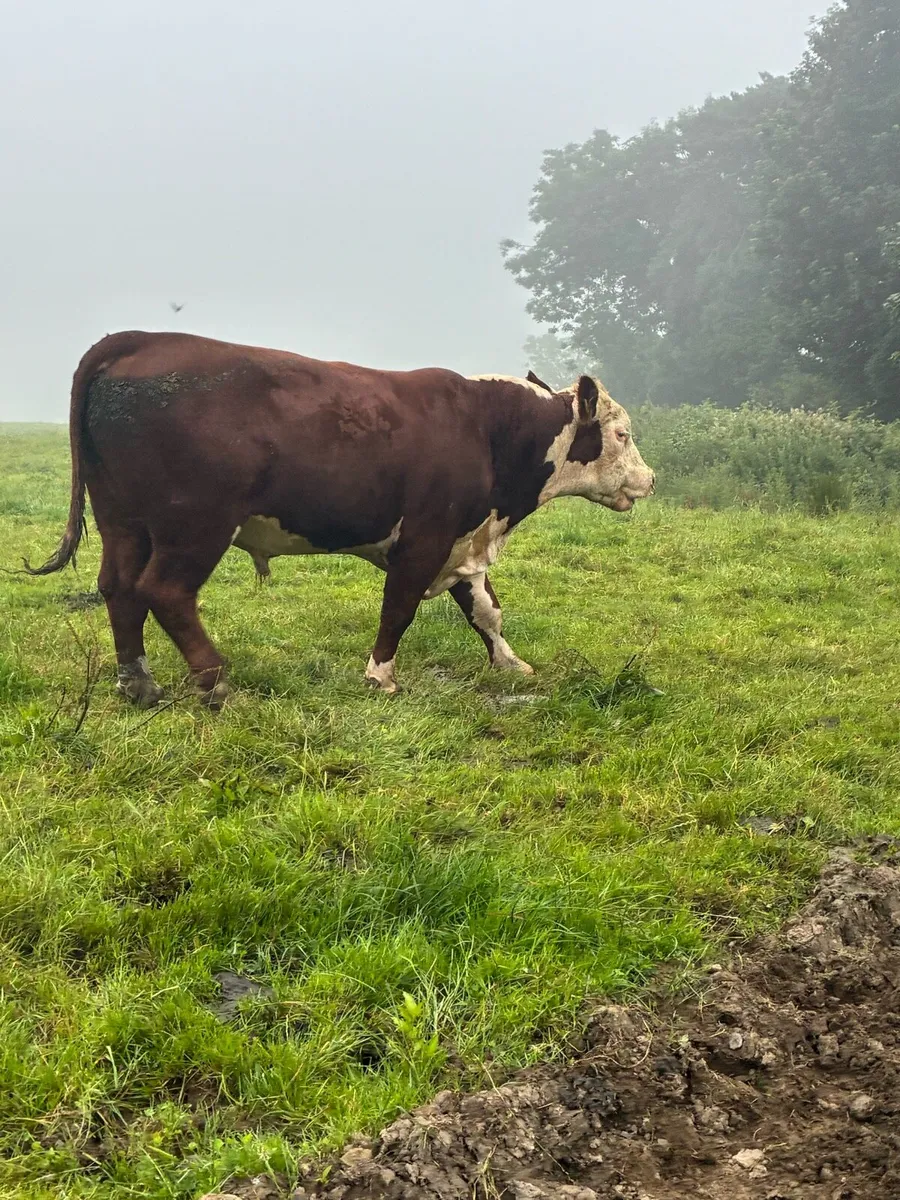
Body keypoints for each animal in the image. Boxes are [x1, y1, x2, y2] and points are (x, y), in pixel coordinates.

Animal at [26, 332, 655, 708]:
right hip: (196, 526)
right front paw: (381, 676)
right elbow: (398, 608)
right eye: (623, 434)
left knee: (119, 589)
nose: (649, 480)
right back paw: (214, 680)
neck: (488, 429)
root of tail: (141, 341)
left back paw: (138, 682)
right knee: (165, 591)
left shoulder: (463, 542)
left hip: (124, 520)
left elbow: (486, 611)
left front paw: (511, 663)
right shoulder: (424, 539)